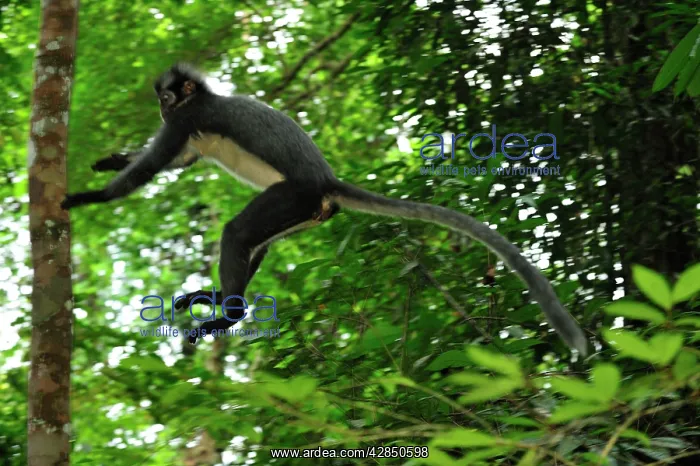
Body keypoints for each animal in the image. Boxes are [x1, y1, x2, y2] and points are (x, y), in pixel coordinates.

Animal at [62, 63, 588, 355]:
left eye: (168, 97)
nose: (162, 109)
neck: (200, 101)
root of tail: (326, 180)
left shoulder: (188, 118)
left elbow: (153, 167)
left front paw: (88, 197)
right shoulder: (188, 129)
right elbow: (180, 161)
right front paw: (112, 159)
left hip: (293, 195)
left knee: (236, 232)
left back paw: (229, 314)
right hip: (303, 211)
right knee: (254, 243)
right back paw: (217, 301)